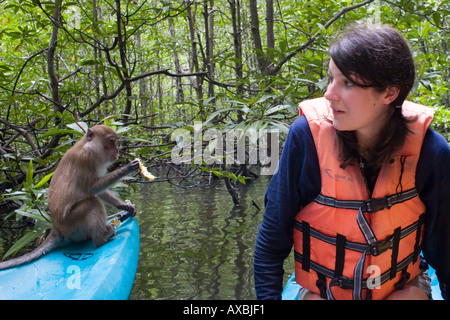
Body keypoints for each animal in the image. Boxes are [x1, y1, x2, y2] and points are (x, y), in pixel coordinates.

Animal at [0, 125, 139, 270]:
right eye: (111, 141)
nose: (117, 149)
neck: (89, 147)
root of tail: (56, 228)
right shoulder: (85, 159)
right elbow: (93, 188)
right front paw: (127, 169)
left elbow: (99, 192)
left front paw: (125, 206)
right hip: (71, 223)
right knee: (92, 202)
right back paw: (101, 238)